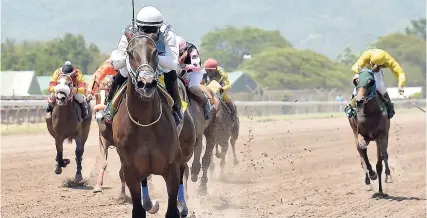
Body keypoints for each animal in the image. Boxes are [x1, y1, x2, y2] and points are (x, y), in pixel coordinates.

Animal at [112, 31, 196, 218]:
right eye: (129, 53)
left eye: (155, 52)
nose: (147, 83)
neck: (145, 123)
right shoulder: (130, 169)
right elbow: (138, 209)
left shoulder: (171, 167)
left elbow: (172, 209)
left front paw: (179, 206)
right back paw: (149, 203)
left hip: (185, 151)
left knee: (183, 170)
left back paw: (183, 205)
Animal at [350, 69, 392, 197]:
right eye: (356, 81)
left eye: (371, 81)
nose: (359, 101)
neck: (370, 113)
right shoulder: (360, 133)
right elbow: (362, 148)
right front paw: (372, 174)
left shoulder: (382, 134)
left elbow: (383, 156)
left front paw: (387, 177)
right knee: (361, 155)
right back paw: (368, 182)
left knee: (381, 158)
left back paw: (382, 188)